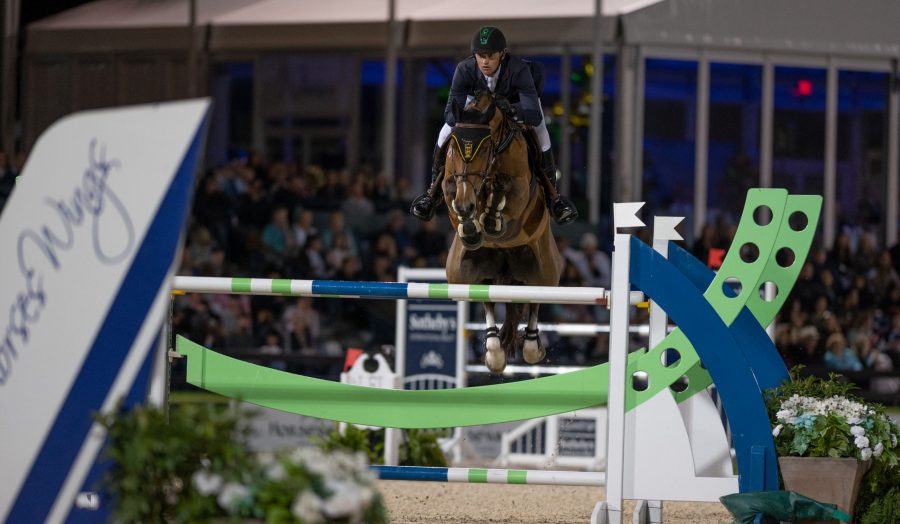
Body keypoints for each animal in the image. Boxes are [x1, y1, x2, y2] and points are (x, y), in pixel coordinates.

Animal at [442, 92, 564, 374]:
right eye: (453, 147)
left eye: (485, 147)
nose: (466, 204)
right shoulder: (452, 181)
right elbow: (452, 189)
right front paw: (470, 225)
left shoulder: (519, 191)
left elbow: (505, 187)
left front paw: (489, 217)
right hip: (463, 273)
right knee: (486, 296)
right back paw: (494, 352)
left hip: (544, 270)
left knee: (535, 297)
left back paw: (532, 346)